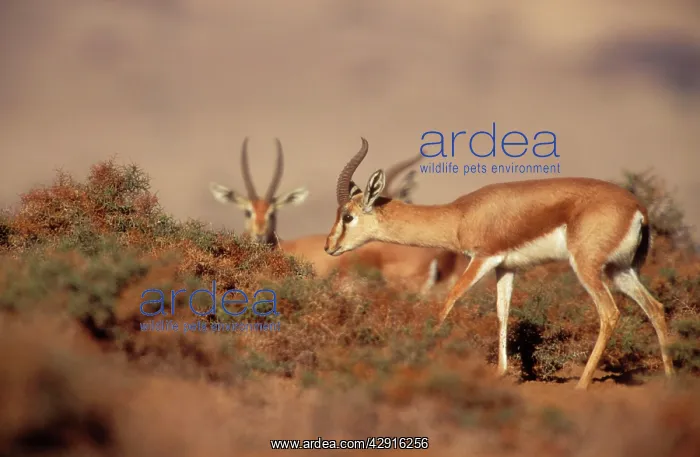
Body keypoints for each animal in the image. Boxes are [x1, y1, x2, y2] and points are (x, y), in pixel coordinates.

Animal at [324, 137, 675, 390]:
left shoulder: (482, 258)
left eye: (348, 216)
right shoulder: (506, 267)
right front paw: (501, 372)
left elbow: (449, 300)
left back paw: (582, 385)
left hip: (588, 268)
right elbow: (502, 313)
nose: (329, 246)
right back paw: (671, 380)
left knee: (610, 313)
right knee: (655, 308)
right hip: (620, 271)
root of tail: (638, 209)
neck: (460, 215)